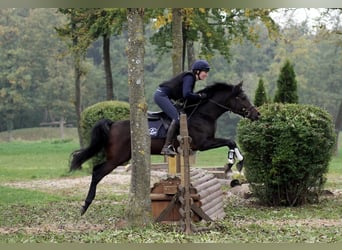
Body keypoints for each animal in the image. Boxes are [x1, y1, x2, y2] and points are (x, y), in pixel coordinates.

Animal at [71, 81, 260, 214]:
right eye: (242, 98)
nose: (257, 114)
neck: (203, 114)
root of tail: (113, 124)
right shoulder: (203, 143)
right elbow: (230, 141)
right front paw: (232, 163)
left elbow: (231, 142)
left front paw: (235, 162)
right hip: (117, 158)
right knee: (97, 172)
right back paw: (85, 205)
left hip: (120, 157)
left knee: (96, 169)